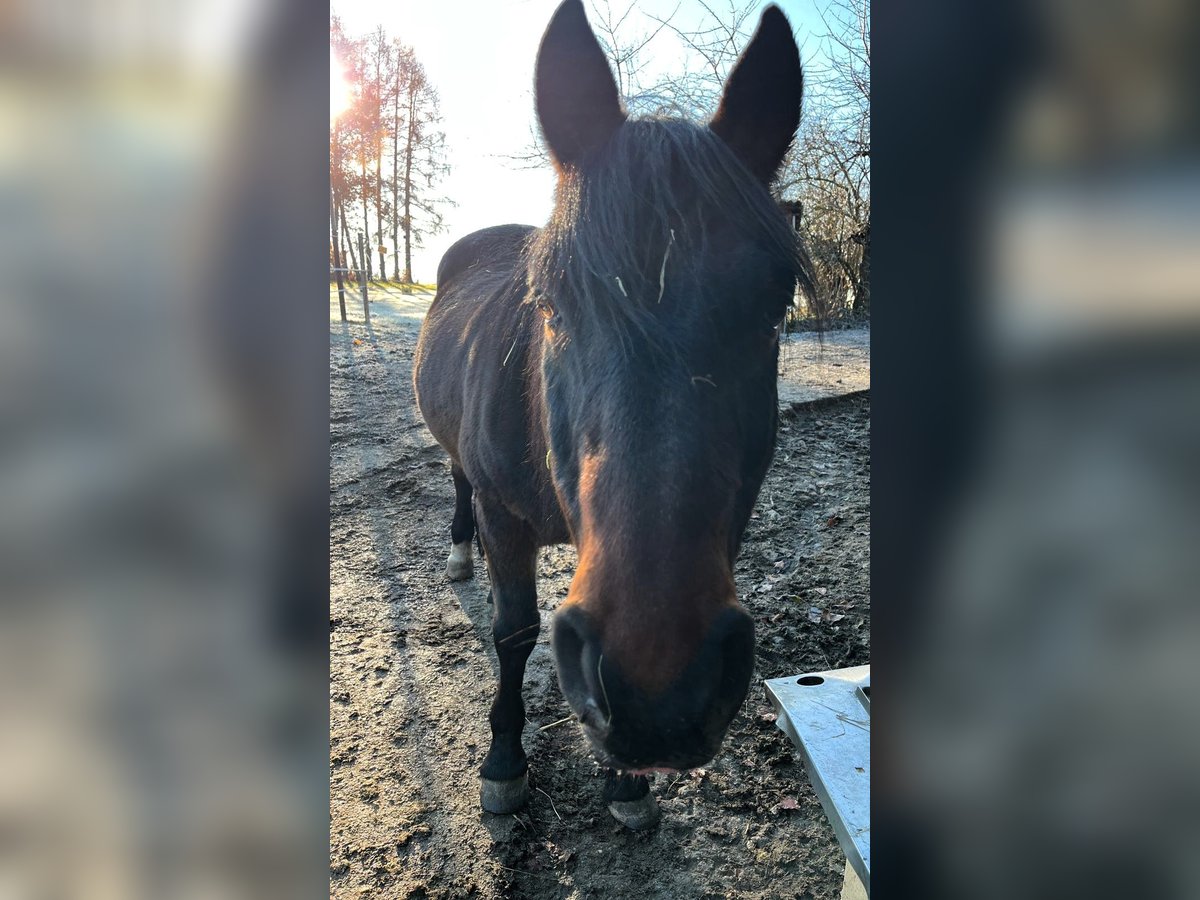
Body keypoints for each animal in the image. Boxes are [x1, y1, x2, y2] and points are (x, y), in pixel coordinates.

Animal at [412, 0, 816, 830]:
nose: (658, 693)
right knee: (457, 481)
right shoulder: (506, 520)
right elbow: (514, 632)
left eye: (774, 311)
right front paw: (504, 762)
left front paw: (627, 784)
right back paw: (459, 551)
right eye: (550, 307)